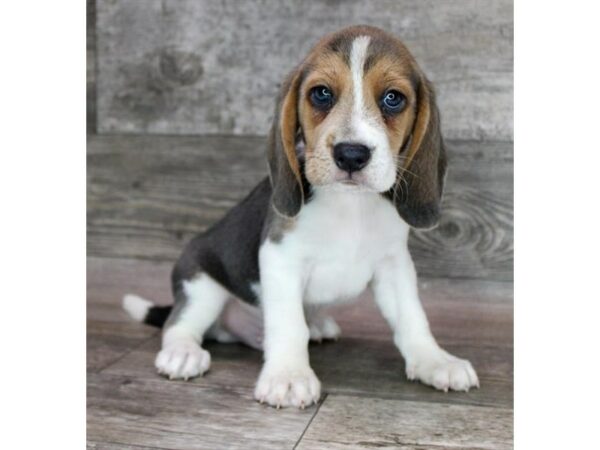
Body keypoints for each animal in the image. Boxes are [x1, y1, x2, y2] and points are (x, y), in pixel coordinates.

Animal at [123, 26, 478, 410]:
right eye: (321, 94)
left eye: (393, 98)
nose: (351, 154)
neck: (350, 206)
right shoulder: (280, 258)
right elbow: (289, 323)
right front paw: (289, 376)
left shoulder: (394, 264)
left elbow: (413, 317)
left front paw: (435, 360)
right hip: (201, 282)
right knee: (179, 324)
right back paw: (183, 353)